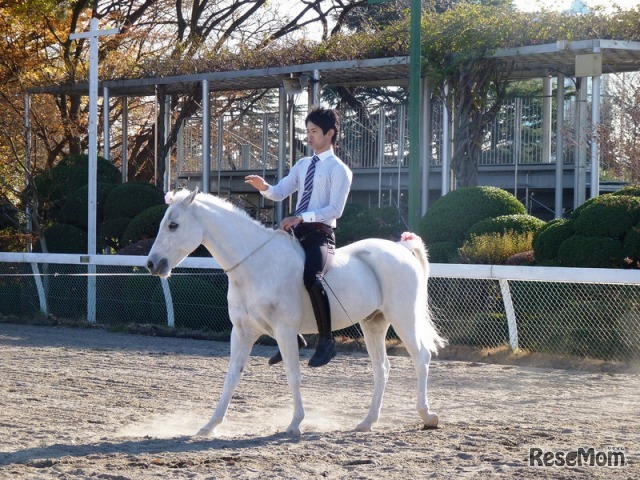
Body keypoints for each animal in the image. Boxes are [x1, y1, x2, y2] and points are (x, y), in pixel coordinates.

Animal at [146, 189, 445, 436]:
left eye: (173, 225)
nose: (152, 264)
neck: (256, 265)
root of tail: (401, 248)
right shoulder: (242, 332)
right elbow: (231, 377)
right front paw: (209, 426)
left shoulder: (285, 331)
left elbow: (293, 375)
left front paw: (295, 423)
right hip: (374, 323)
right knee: (381, 368)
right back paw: (367, 421)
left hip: (403, 317)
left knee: (421, 357)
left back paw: (427, 416)